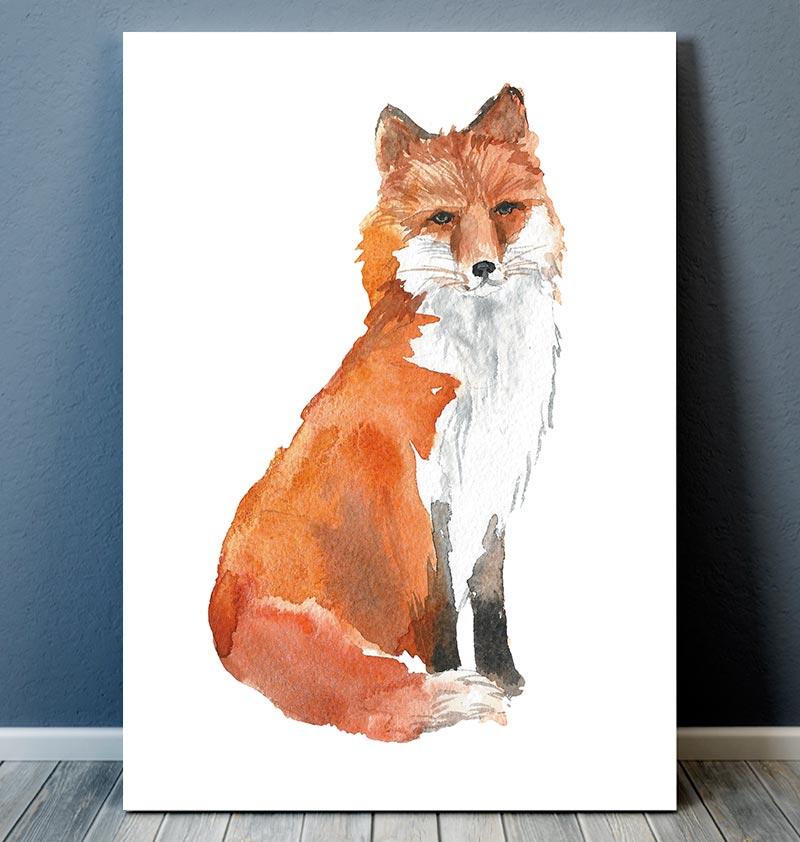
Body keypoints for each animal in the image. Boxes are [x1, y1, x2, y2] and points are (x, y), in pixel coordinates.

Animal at [208, 84, 564, 742]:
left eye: (505, 209)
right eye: (443, 219)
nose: (485, 269)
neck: (483, 365)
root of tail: (219, 613)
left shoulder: (494, 482)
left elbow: (490, 596)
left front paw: (504, 677)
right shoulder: (424, 492)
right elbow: (441, 603)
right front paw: (454, 673)